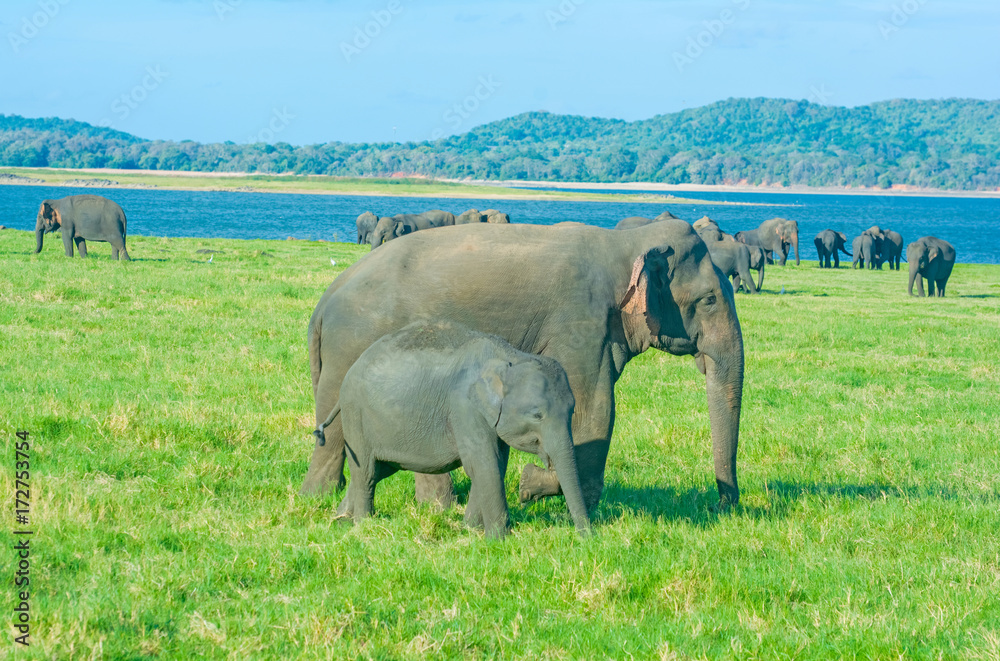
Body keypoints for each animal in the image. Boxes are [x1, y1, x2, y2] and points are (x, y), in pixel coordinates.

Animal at [302, 219, 745, 517]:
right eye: (708, 300)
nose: (722, 506)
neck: (625, 239)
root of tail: (325, 300)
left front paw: (527, 484)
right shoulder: (580, 322)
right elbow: (594, 413)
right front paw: (529, 486)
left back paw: (436, 507)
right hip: (352, 346)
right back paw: (324, 499)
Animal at [315, 320, 590, 539]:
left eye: (571, 411)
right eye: (537, 415)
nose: (587, 539)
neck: (509, 356)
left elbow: (495, 464)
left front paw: (469, 529)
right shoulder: (464, 407)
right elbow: (484, 464)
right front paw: (499, 540)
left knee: (379, 469)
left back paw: (340, 520)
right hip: (356, 416)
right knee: (367, 472)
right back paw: (363, 525)